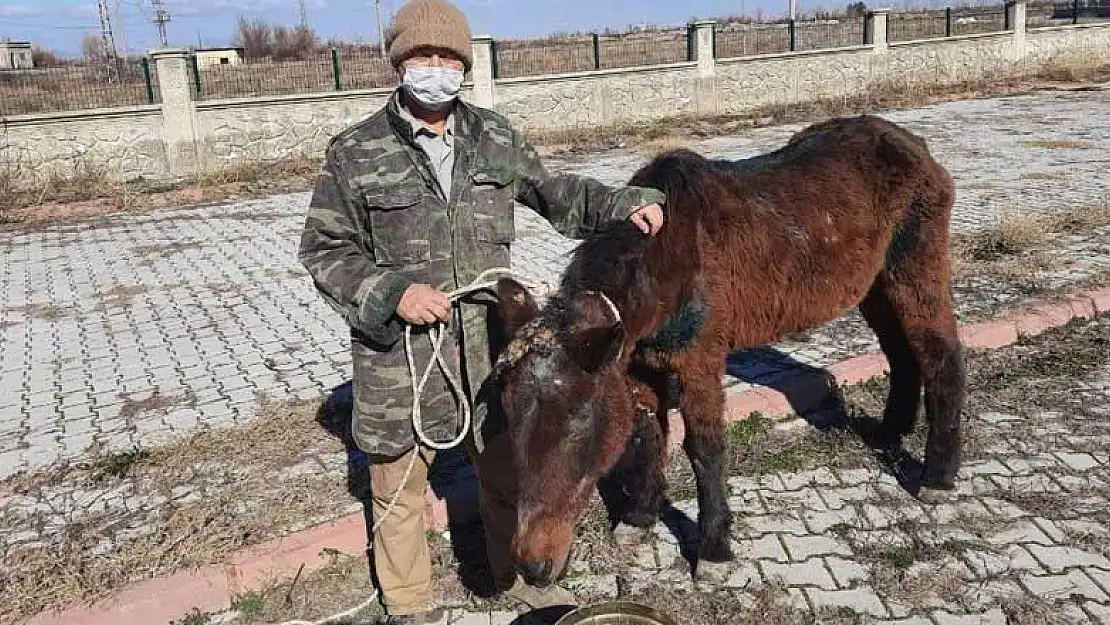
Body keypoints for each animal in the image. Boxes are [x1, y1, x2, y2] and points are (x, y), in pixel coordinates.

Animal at [490, 113, 967, 586]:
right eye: (510, 419)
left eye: (578, 425)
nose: (532, 568)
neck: (669, 262)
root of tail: (913, 144)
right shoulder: (639, 369)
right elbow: (646, 437)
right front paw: (640, 517)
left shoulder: (699, 364)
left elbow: (705, 450)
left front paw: (715, 548)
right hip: (874, 285)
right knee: (901, 354)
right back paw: (891, 432)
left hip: (915, 270)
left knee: (941, 355)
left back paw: (938, 476)